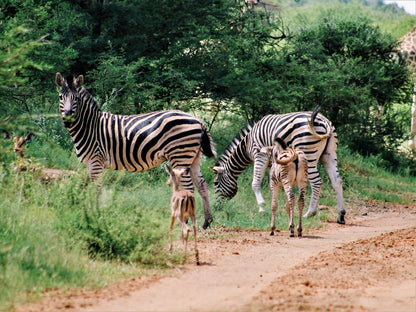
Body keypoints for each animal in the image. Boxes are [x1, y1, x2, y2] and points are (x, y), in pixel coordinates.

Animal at [55, 73, 216, 229]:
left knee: (189, 188)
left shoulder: (96, 161)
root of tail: (197, 120)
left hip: (180, 156)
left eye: (76, 99)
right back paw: (207, 222)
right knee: (202, 185)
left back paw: (185, 221)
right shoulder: (91, 164)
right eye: (61, 97)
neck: (90, 126)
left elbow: (96, 190)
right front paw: (93, 212)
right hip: (194, 157)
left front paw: (95, 214)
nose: (67, 119)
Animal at [213, 107, 346, 224]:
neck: (247, 144)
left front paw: (262, 208)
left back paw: (310, 213)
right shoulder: (273, 161)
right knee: (337, 181)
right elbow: (275, 183)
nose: (216, 208)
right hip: (328, 154)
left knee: (317, 182)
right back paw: (341, 214)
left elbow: (255, 183)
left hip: (308, 154)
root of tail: (324, 121)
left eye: (216, 184)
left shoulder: (260, 155)